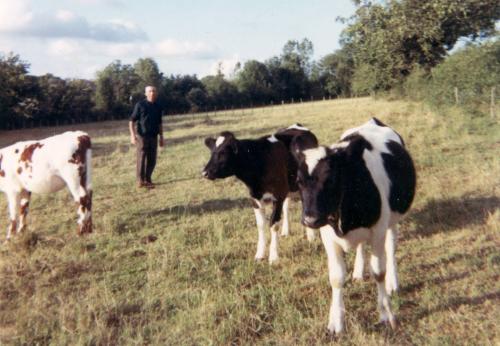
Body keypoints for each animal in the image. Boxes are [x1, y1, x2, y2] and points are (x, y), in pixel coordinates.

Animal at [202, 125, 316, 264]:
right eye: (212, 152)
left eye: (223, 153)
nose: (204, 173)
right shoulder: (255, 199)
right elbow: (261, 225)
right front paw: (260, 254)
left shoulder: (277, 196)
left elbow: (273, 224)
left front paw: (273, 257)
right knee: (286, 207)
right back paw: (286, 231)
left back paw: (311, 236)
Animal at [292, 118, 416, 332]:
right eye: (299, 181)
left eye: (331, 179)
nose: (310, 220)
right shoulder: (327, 235)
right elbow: (336, 277)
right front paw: (336, 321)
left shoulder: (378, 230)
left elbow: (378, 272)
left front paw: (386, 313)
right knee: (360, 246)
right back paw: (358, 271)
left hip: (393, 220)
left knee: (391, 248)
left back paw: (393, 282)